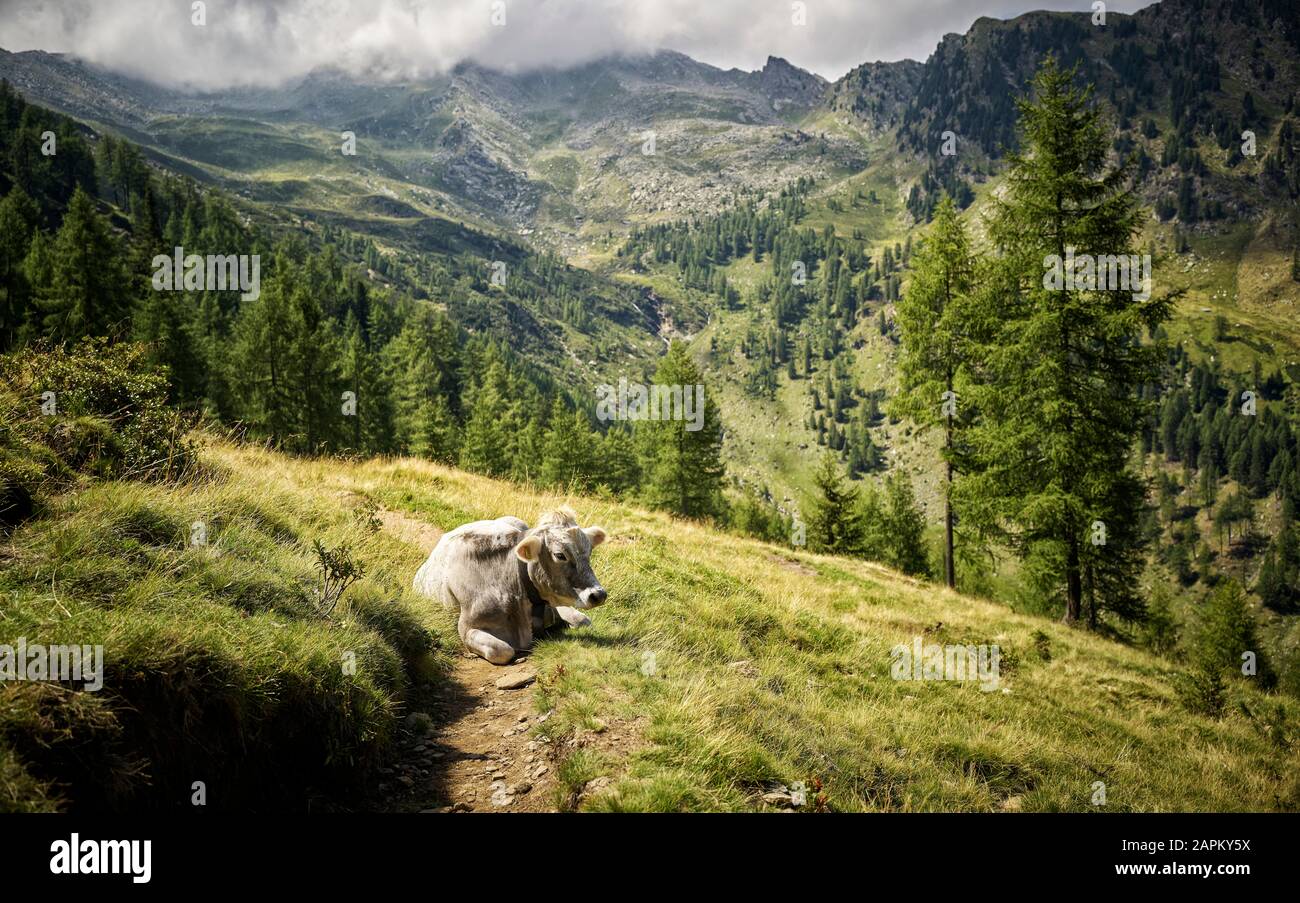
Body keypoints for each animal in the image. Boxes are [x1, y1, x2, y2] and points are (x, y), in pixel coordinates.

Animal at [412, 507, 608, 664]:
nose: (598, 595)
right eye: (560, 555)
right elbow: (503, 650)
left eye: (589, 552)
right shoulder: (467, 628)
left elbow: (583, 621)